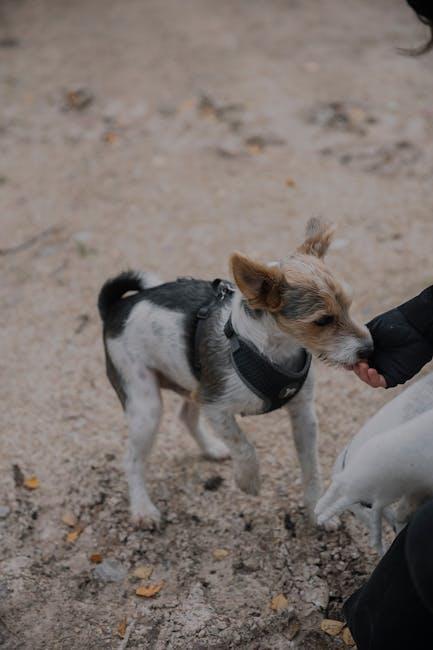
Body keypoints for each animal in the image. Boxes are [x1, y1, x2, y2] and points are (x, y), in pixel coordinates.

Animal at [98, 218, 372, 528]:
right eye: (323, 320)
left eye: (348, 305)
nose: (369, 349)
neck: (270, 349)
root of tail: (117, 307)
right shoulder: (217, 406)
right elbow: (245, 446)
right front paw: (248, 481)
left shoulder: (303, 414)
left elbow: (311, 467)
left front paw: (317, 512)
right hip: (146, 405)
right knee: (132, 459)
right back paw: (143, 509)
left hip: (194, 383)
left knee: (186, 416)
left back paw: (211, 449)